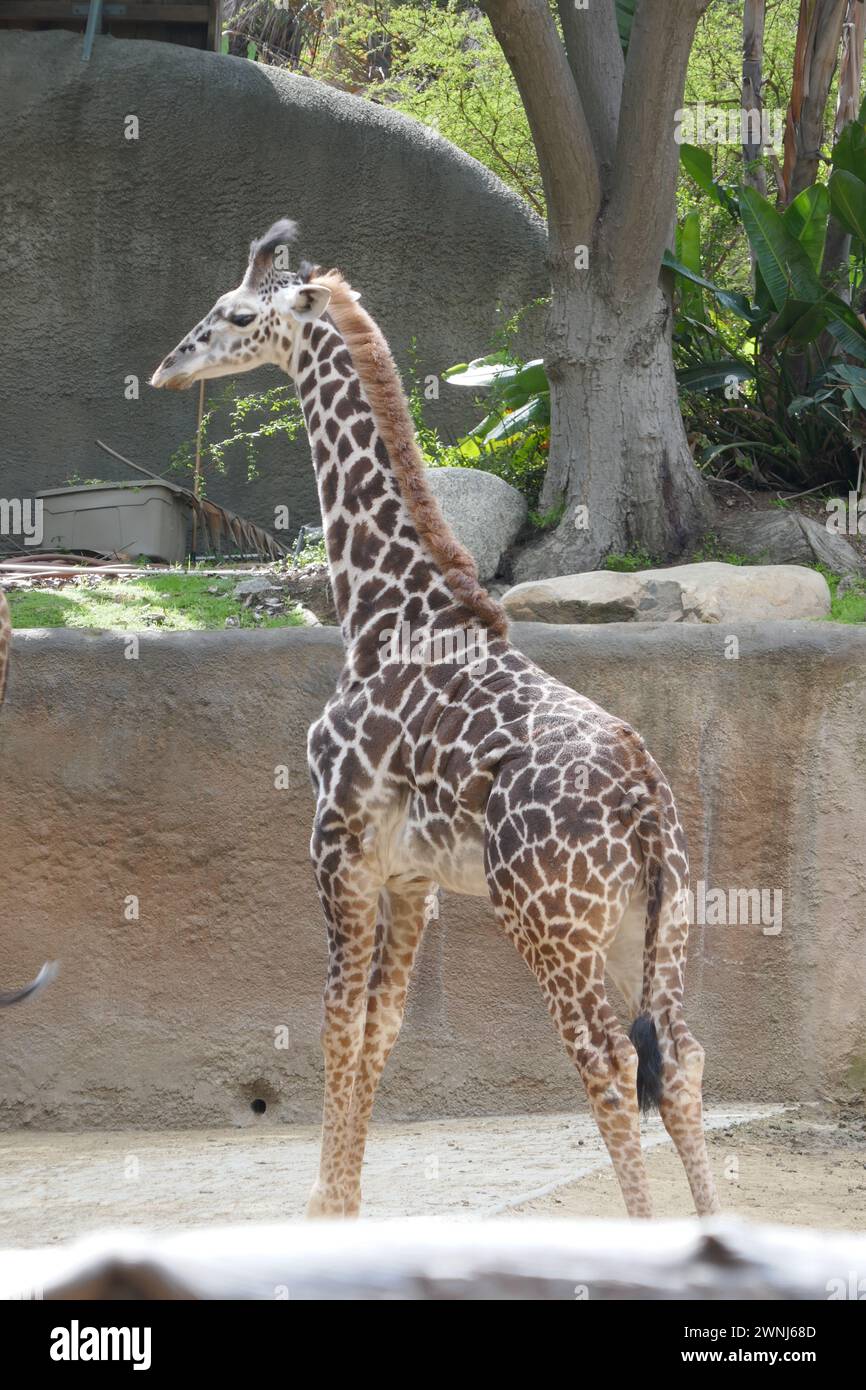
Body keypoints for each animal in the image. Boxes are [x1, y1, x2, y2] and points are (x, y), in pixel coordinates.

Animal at [151, 220, 720, 1221]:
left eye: (236, 314)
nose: (167, 369)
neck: (383, 609)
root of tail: (649, 806)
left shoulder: (337, 841)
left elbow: (337, 1023)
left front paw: (326, 1208)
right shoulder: (412, 875)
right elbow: (381, 1028)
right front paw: (341, 1200)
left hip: (548, 925)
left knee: (612, 1060)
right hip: (648, 926)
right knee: (681, 1058)